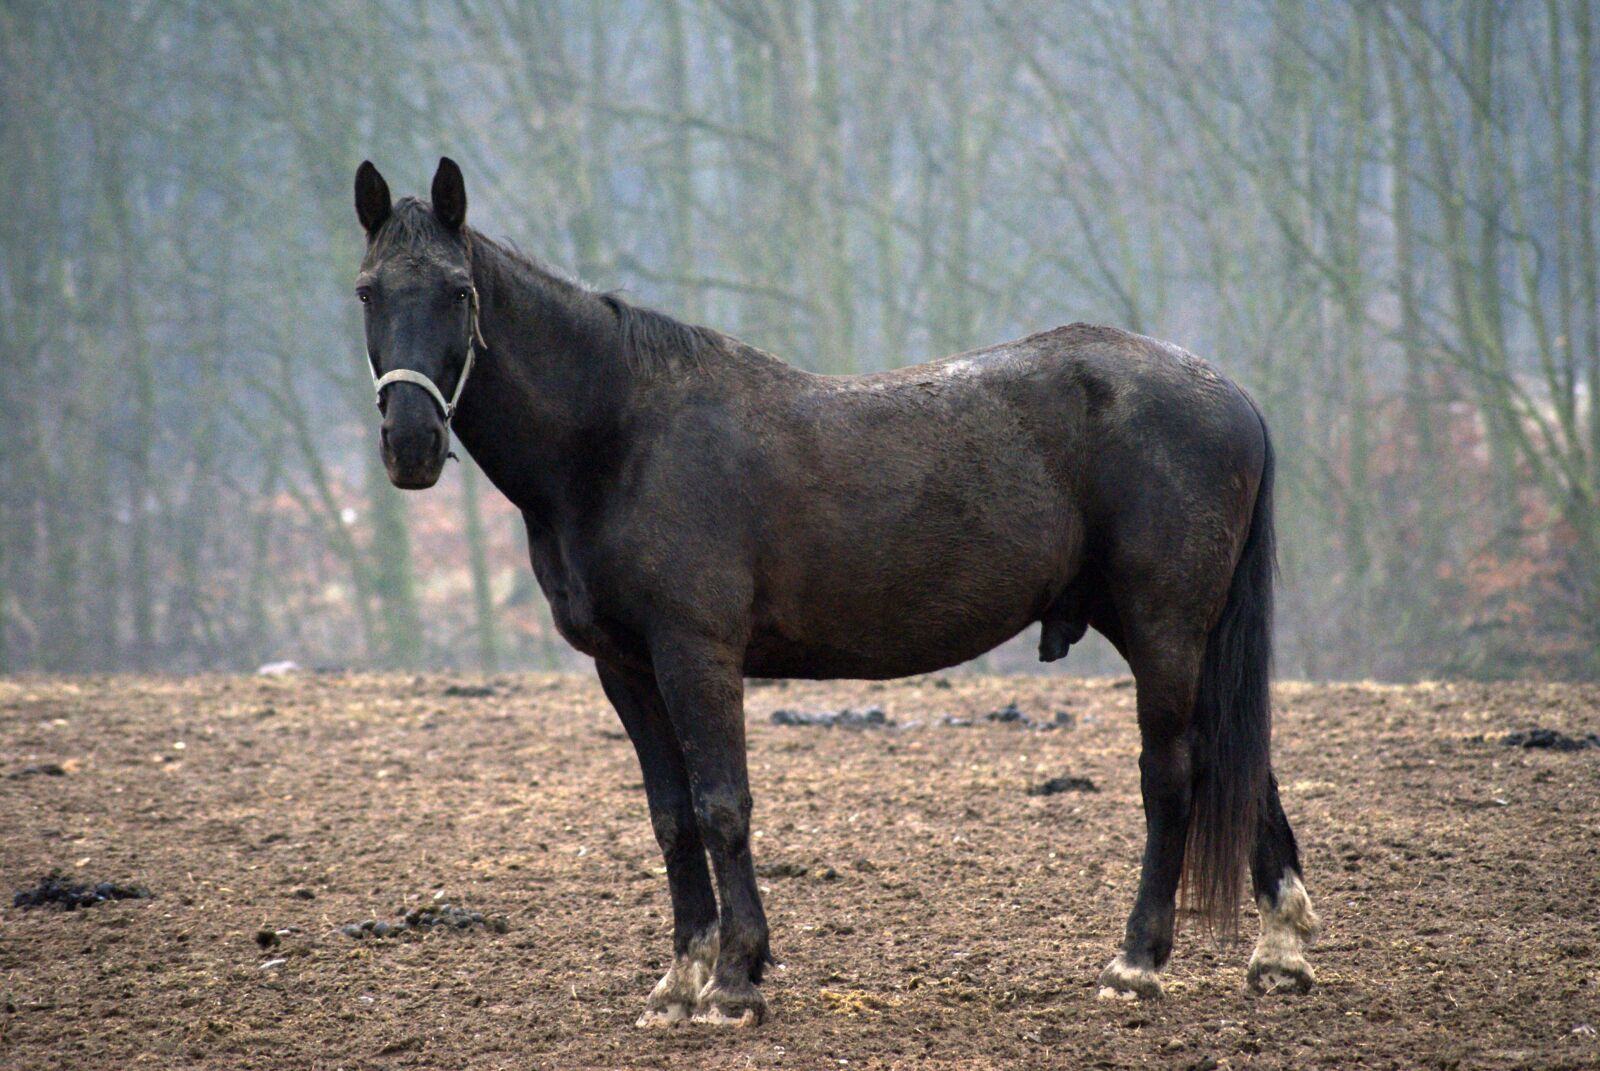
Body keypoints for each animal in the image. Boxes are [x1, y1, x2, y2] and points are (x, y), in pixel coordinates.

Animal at [350, 157, 1319, 1027]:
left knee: (1174, 776)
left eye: (458, 292)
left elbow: (722, 806)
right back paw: (1281, 949)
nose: (411, 443)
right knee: (1237, 757)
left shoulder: (696, 654)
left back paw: (1137, 962)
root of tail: (1231, 395)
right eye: (366, 293)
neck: (619, 435)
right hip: (1181, 635)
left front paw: (735, 979)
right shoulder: (625, 669)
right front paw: (682, 978)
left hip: (1164, 630)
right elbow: (672, 817)